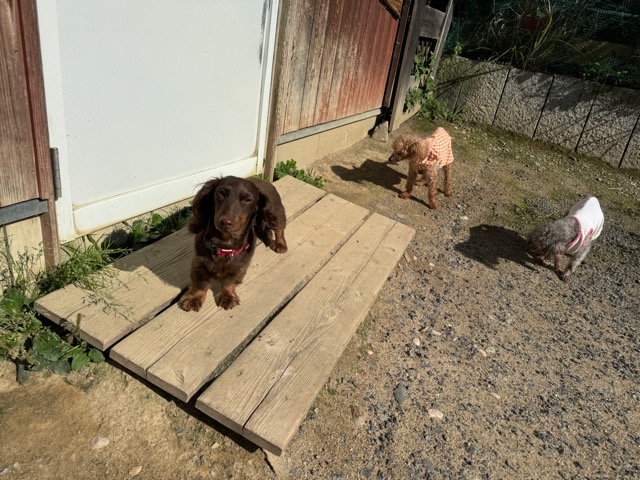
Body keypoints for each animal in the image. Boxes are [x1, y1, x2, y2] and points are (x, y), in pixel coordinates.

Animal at [178, 176, 287, 312]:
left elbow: (229, 282)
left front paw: (227, 297)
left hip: (278, 212)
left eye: (247, 199)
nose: (225, 222)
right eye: (221, 193)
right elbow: (200, 284)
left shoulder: (240, 266)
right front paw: (193, 299)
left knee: (279, 228)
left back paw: (280, 244)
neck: (225, 244)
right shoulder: (199, 263)